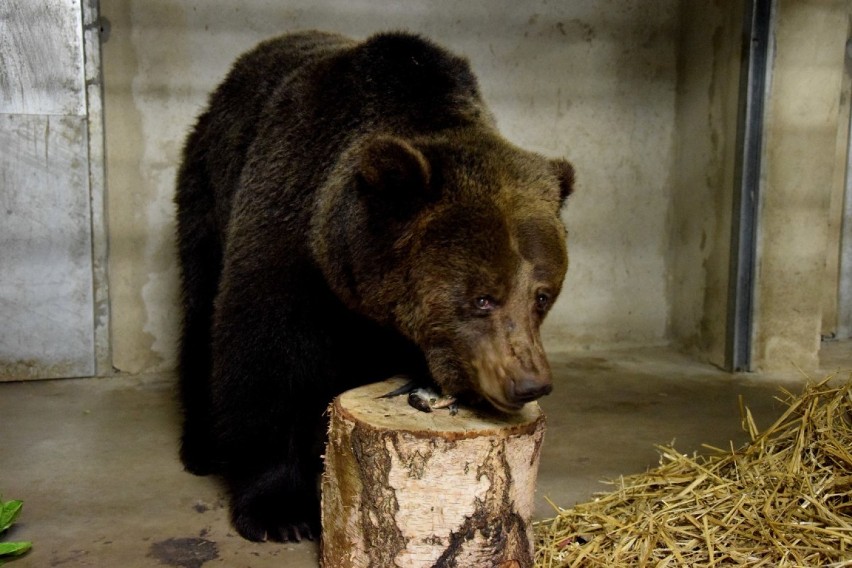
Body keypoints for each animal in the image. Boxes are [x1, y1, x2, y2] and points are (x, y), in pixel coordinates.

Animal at [175, 30, 572, 540]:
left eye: (542, 295)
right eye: (484, 298)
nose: (528, 383)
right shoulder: (286, 233)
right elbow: (267, 358)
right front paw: (279, 509)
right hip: (208, 185)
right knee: (200, 304)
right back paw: (201, 447)